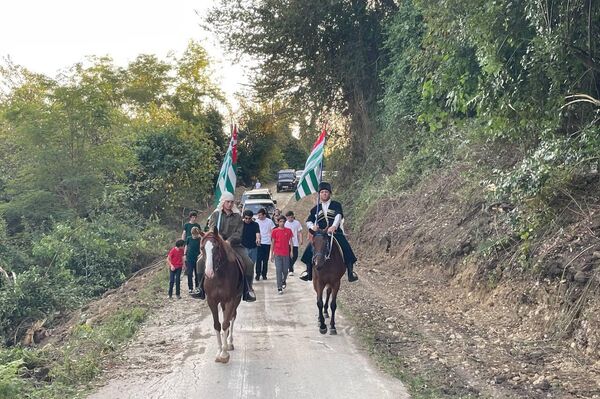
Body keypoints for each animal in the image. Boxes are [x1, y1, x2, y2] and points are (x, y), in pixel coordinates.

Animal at [199, 228, 241, 362]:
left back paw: (229, 342)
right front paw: (219, 350)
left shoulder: (231, 300)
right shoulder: (211, 301)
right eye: (202, 248)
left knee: (232, 317)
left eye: (216, 247)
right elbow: (217, 325)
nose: (208, 273)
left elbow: (226, 323)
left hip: (236, 299)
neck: (218, 277)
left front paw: (224, 353)